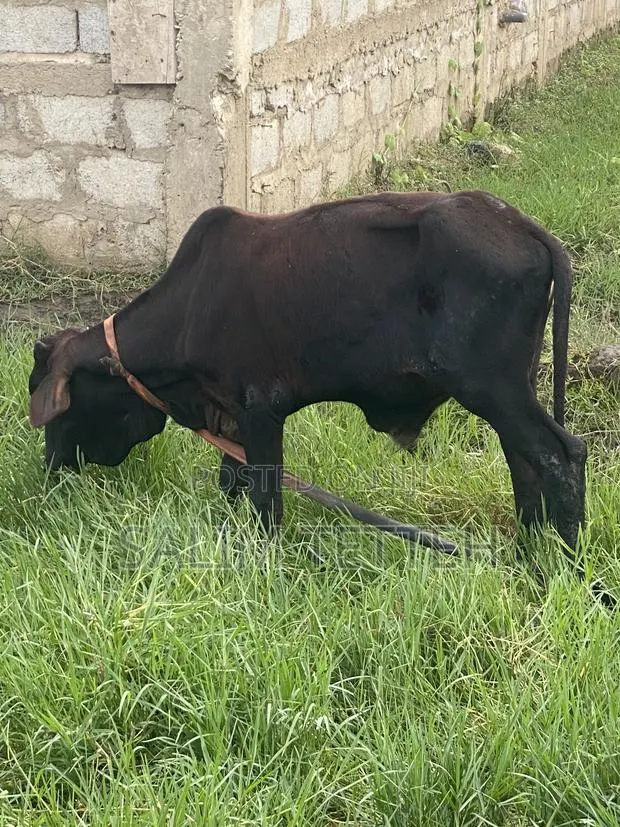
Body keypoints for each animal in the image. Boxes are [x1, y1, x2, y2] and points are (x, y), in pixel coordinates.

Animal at [28, 190, 588, 566]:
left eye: (59, 404)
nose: (51, 468)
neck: (190, 305)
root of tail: (521, 225)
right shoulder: (230, 414)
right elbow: (233, 483)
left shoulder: (259, 408)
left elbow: (266, 500)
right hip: (512, 390)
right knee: (525, 465)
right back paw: (526, 554)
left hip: (491, 388)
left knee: (562, 455)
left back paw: (565, 564)